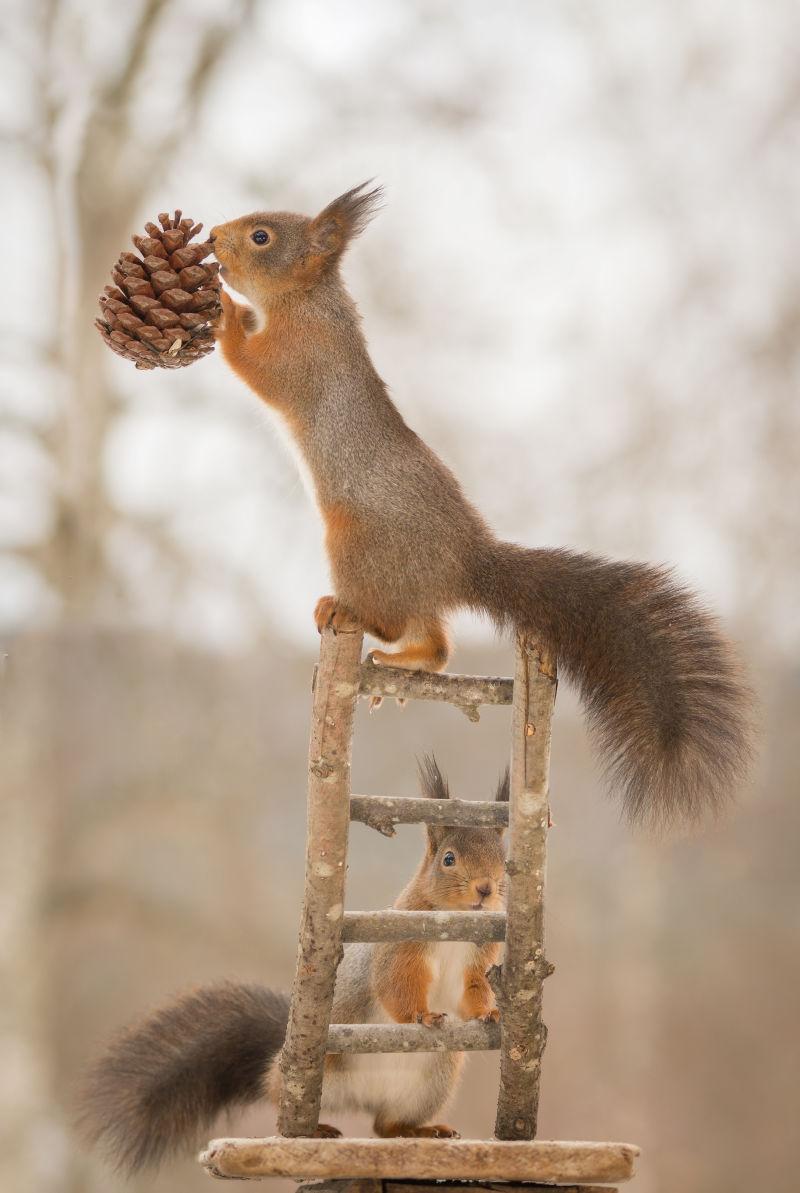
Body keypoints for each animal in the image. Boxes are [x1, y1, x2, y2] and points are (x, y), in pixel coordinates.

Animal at [81, 758, 507, 1169]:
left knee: (384, 1127)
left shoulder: (479, 960)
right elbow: (394, 986)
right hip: (310, 1081)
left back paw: (420, 1131)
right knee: (281, 1103)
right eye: (448, 859)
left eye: (506, 861)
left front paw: (491, 1012)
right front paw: (422, 1015)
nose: (486, 889)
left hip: (431, 1084)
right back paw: (313, 1129)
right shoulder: (397, 951)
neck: (454, 921)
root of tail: (361, 1098)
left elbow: (473, 991)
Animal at [209, 183, 753, 830]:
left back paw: (342, 611)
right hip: (406, 583)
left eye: (261, 236)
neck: (309, 303)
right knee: (437, 644)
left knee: (389, 618)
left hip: (358, 547)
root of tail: (463, 561)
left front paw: (222, 312)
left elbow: (255, 366)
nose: (211, 238)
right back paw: (407, 662)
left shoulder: (299, 357)